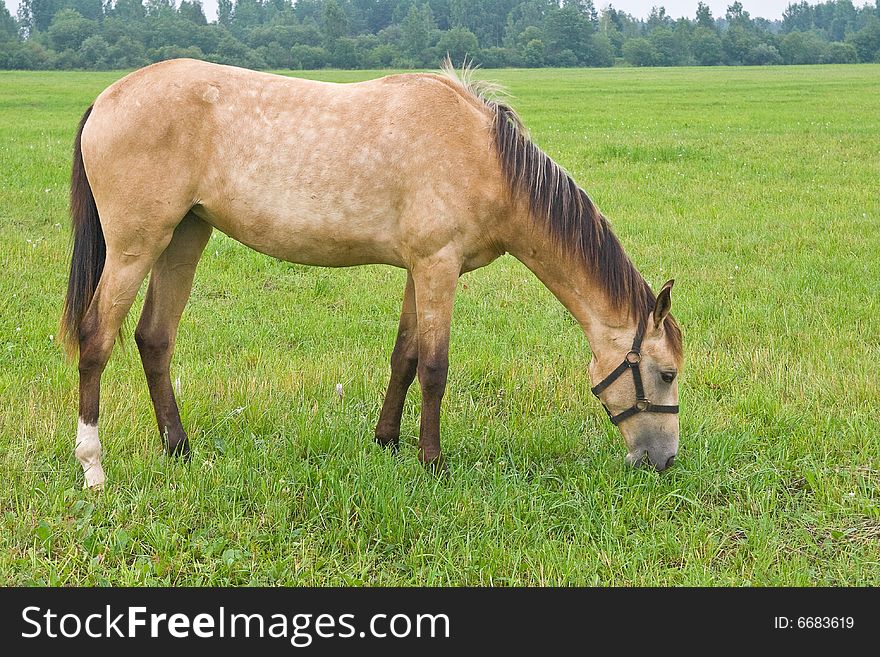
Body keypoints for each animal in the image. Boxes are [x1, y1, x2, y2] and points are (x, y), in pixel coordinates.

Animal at [58, 59, 684, 486]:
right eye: (667, 374)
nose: (665, 460)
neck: (484, 156)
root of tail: (107, 98)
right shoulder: (438, 265)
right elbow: (434, 367)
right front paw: (433, 463)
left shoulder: (420, 268)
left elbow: (404, 358)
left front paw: (387, 442)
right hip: (135, 247)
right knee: (97, 339)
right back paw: (93, 467)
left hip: (183, 239)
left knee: (154, 339)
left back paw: (179, 449)